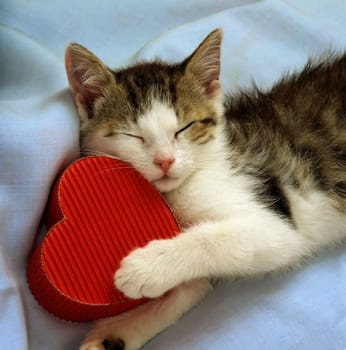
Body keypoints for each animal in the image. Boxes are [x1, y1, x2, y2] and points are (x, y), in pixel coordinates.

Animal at [65, 30, 346, 350]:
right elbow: (192, 286)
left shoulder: (279, 225)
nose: (165, 160)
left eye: (184, 128)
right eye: (132, 136)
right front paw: (116, 332)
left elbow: (214, 240)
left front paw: (146, 267)